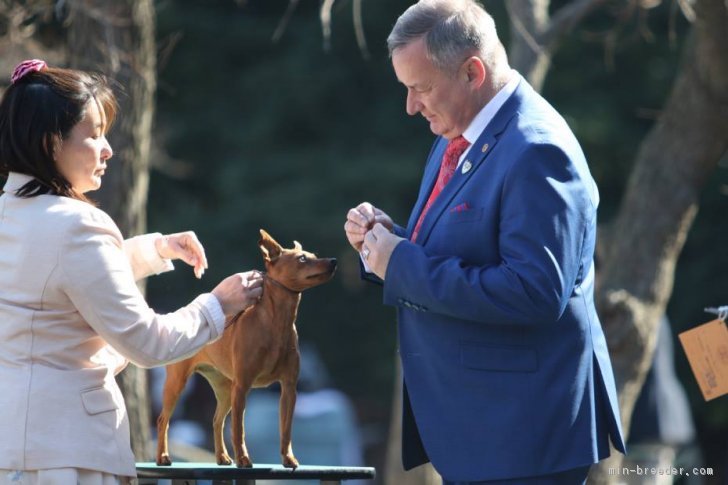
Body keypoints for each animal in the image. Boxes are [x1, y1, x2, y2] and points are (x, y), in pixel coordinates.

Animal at [156, 229, 338, 466]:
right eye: (302, 259)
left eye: (314, 255)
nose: (333, 261)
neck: (276, 323)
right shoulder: (242, 386)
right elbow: (239, 430)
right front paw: (243, 458)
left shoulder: (289, 388)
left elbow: (286, 429)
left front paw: (288, 458)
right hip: (178, 383)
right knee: (163, 419)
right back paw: (163, 456)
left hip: (225, 388)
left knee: (216, 420)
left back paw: (222, 456)